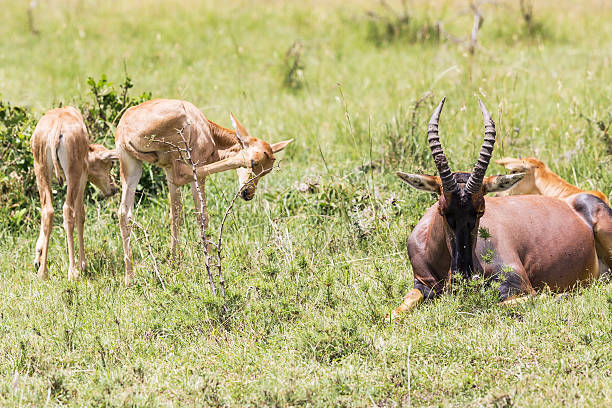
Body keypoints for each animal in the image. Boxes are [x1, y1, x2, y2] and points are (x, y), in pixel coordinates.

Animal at [31, 106, 120, 280]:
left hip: (41, 170)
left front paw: (38, 256)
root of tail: (57, 127)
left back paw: (43, 272)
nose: (113, 189)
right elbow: (81, 215)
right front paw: (83, 264)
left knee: (47, 211)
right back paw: (73, 271)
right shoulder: (82, 178)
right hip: (73, 175)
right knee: (68, 210)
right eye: (110, 164)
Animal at [116, 99, 294, 284]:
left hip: (132, 165)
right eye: (254, 163)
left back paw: (129, 278)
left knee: (124, 213)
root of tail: (124, 129)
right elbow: (202, 215)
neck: (206, 128)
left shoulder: (167, 170)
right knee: (186, 175)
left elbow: (175, 214)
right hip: (183, 161)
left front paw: (174, 264)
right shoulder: (194, 166)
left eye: (267, 171)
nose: (248, 193)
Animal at [388, 98, 612, 318]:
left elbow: (504, 303)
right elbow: (395, 312)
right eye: (442, 209)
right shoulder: (421, 285)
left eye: (481, 210)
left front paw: (559, 296)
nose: (464, 276)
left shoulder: (518, 282)